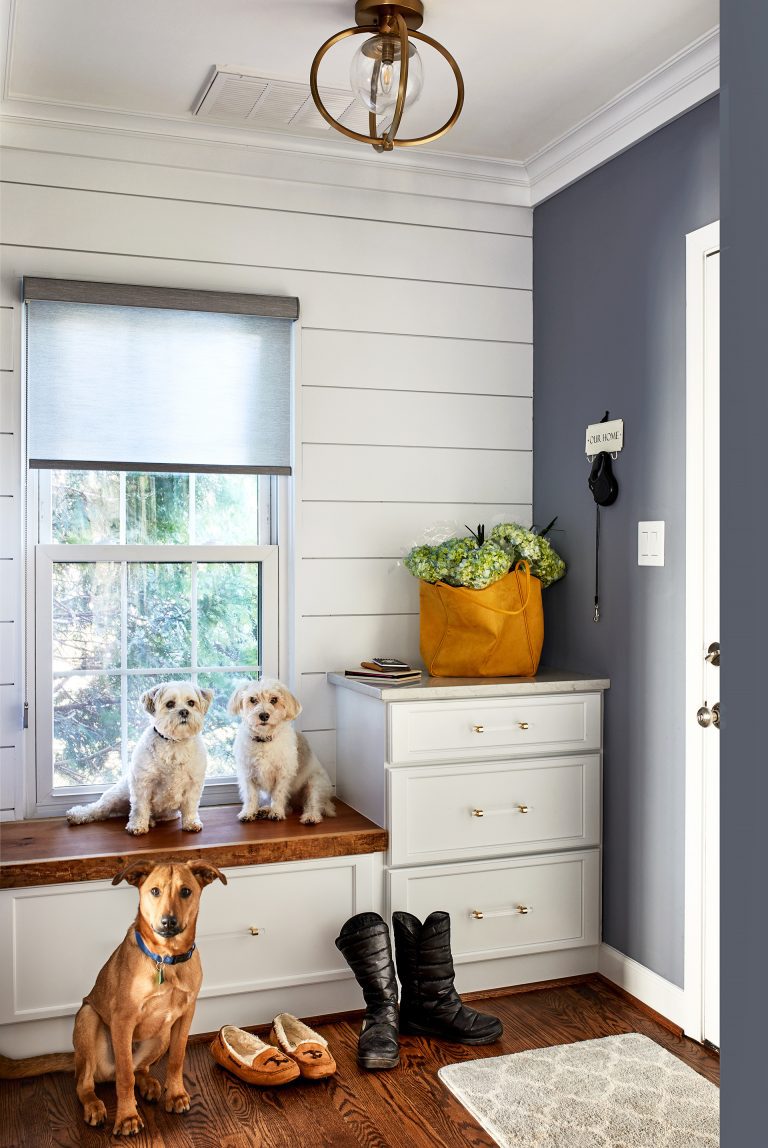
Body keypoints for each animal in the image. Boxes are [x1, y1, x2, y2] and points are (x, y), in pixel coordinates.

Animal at [0, 858, 226, 1134]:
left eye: (185, 891)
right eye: (155, 891)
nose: (168, 922)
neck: (166, 959)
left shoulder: (186, 1015)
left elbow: (176, 1059)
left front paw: (175, 1095)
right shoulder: (123, 1020)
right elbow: (125, 1075)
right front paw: (127, 1117)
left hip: (161, 1034)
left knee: (139, 1068)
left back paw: (149, 1084)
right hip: (88, 1019)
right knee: (85, 1083)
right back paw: (95, 1106)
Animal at [64, 679, 214, 835]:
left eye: (191, 703)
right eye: (170, 704)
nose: (184, 711)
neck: (174, 742)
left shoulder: (193, 784)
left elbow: (190, 806)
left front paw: (191, 822)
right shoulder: (143, 782)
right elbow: (140, 807)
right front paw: (137, 825)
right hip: (115, 796)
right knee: (99, 809)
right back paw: (77, 815)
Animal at [227, 670, 335, 826]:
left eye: (274, 699)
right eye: (253, 699)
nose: (264, 715)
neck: (264, 741)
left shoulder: (283, 774)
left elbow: (278, 795)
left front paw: (276, 812)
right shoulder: (248, 774)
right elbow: (251, 796)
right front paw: (248, 813)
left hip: (315, 783)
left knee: (313, 803)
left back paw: (310, 816)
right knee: (288, 807)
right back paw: (265, 809)